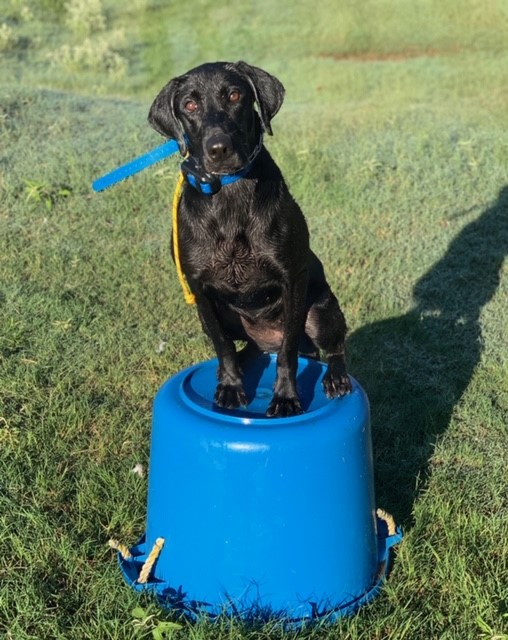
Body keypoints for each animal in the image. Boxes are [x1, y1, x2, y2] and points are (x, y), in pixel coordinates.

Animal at [149, 62, 352, 418]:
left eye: (234, 95)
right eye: (190, 104)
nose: (219, 149)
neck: (229, 194)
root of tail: (264, 337)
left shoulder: (292, 280)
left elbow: (287, 352)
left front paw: (285, 397)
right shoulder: (200, 290)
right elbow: (224, 347)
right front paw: (231, 386)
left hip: (321, 309)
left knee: (333, 346)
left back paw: (336, 376)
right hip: (221, 315)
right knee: (243, 347)